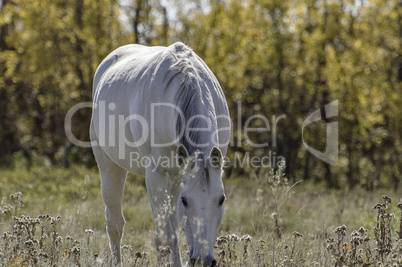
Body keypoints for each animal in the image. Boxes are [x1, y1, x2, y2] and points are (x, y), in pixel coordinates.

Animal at [90, 43, 231, 266]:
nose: (203, 260)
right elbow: (165, 238)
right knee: (115, 224)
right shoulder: (157, 175)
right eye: (185, 200)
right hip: (110, 166)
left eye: (221, 199)